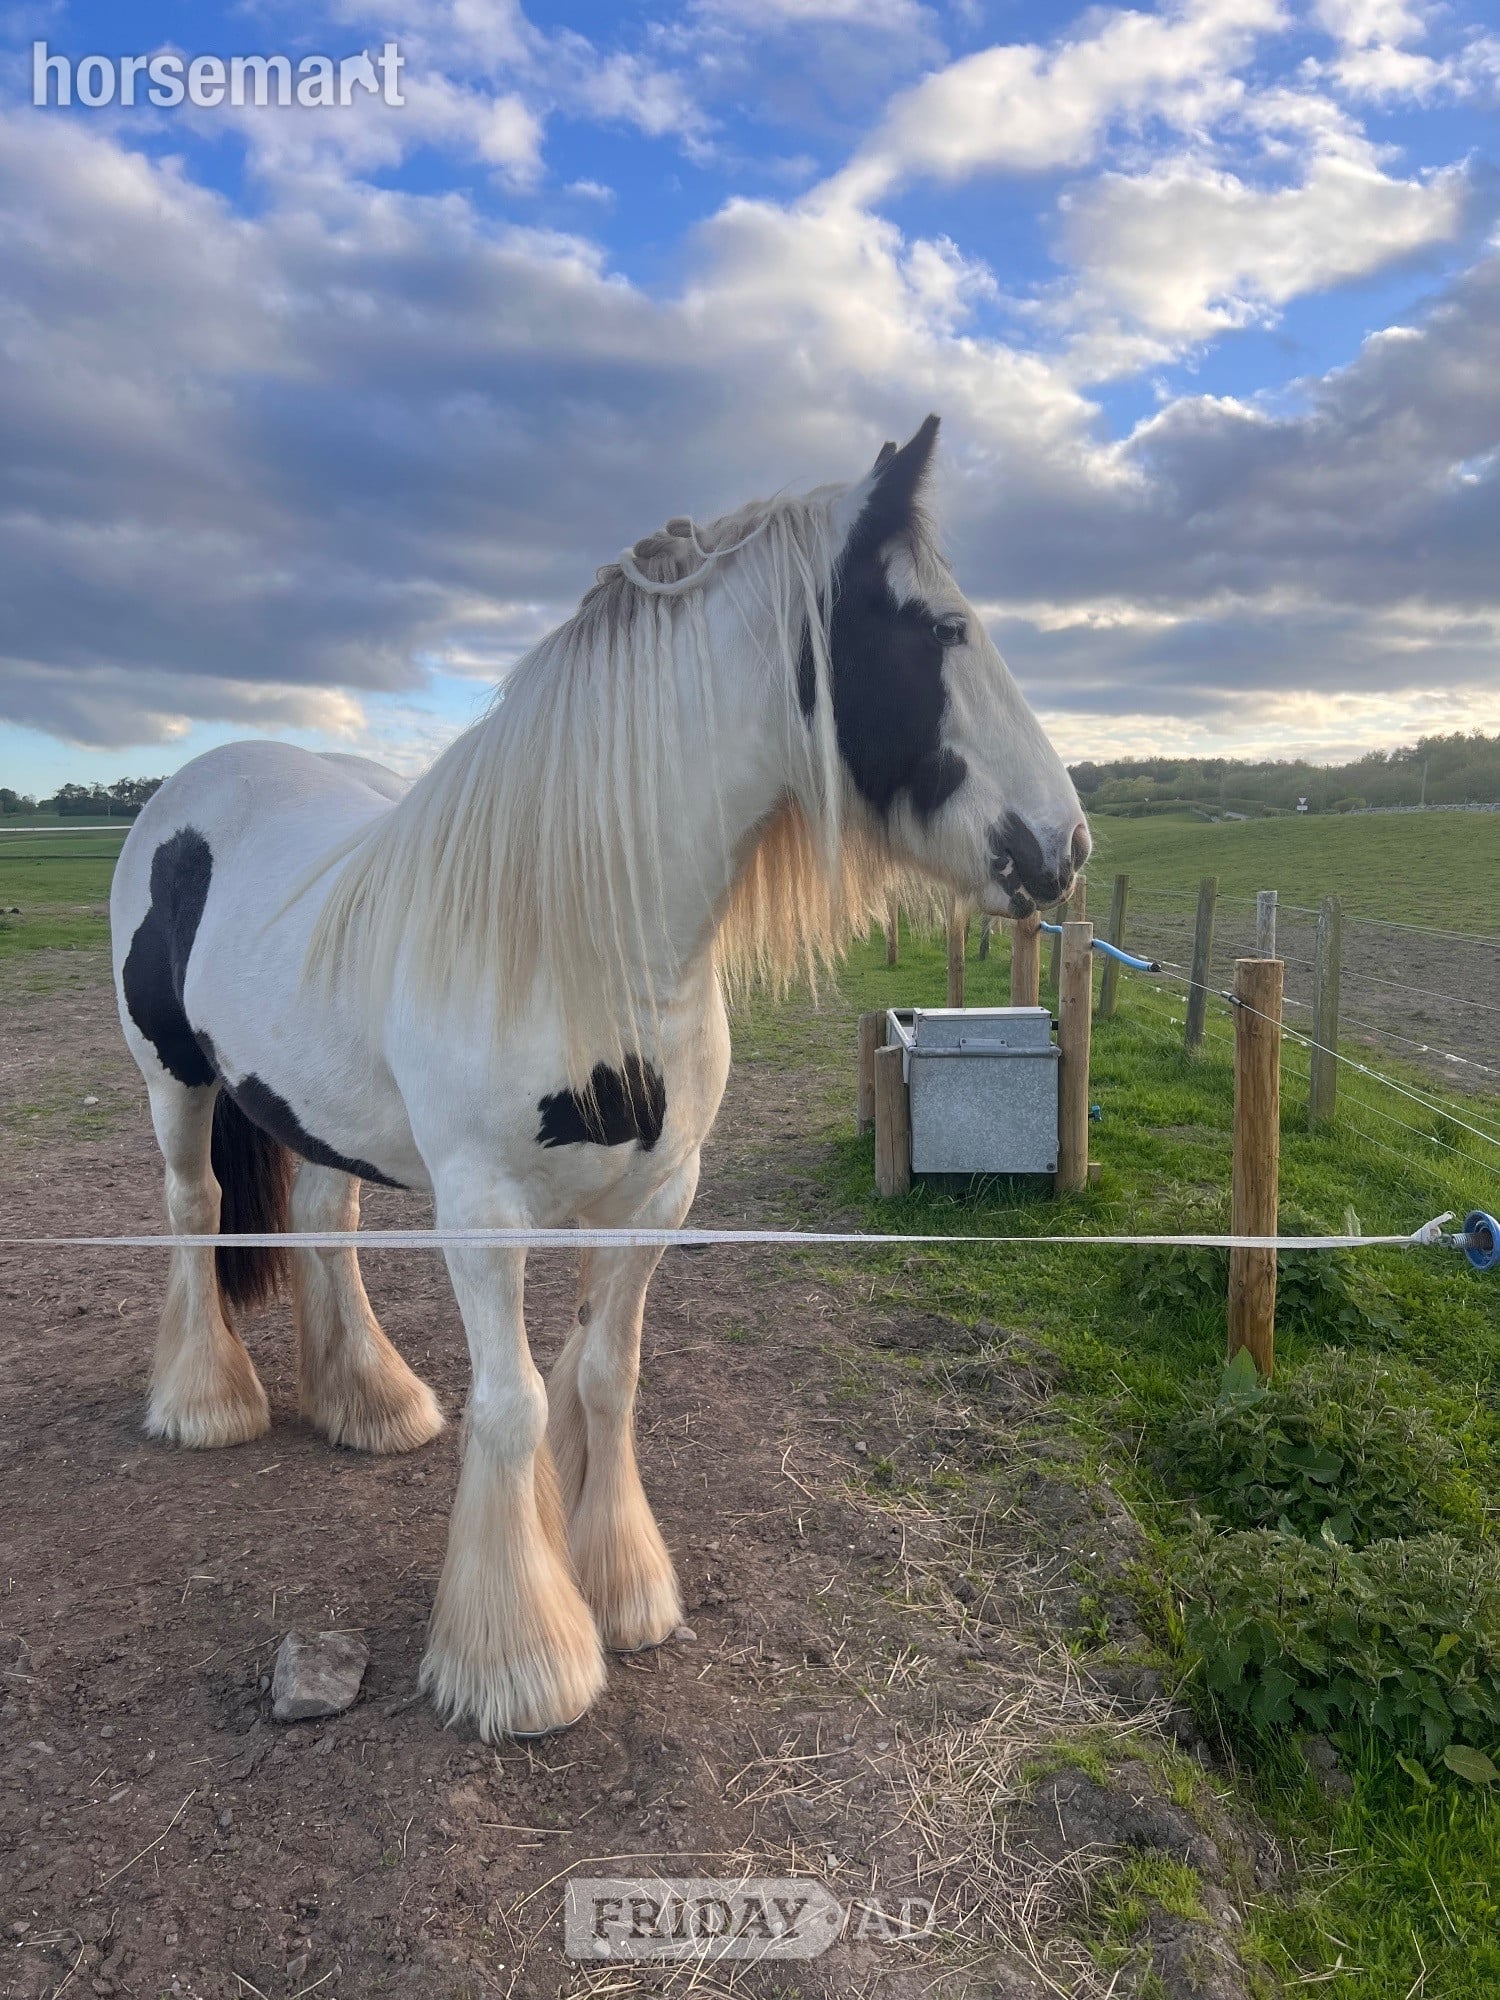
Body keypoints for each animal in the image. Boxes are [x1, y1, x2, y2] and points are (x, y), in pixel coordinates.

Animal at [108, 415, 1089, 1740]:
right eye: (942, 628)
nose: (1064, 843)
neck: (577, 936)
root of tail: (196, 780)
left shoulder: (654, 1197)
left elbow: (605, 1379)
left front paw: (618, 1587)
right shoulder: (483, 1211)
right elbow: (519, 1400)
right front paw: (521, 1657)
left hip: (317, 1109)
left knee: (323, 1217)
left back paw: (368, 1402)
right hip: (175, 1079)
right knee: (195, 1205)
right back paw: (206, 1400)